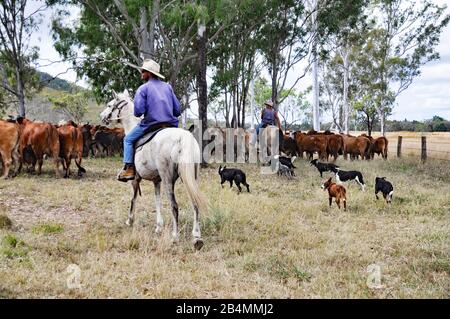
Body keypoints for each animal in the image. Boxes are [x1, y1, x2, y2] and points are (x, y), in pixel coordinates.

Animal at [100, 89, 206, 250]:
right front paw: (158, 226)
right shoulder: (157, 181)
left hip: (168, 178)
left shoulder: (136, 179)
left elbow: (133, 199)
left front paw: (130, 220)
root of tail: (183, 137)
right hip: (192, 177)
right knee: (194, 202)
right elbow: (157, 200)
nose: (102, 117)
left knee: (174, 206)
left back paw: (175, 236)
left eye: (109, 104)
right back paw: (196, 235)